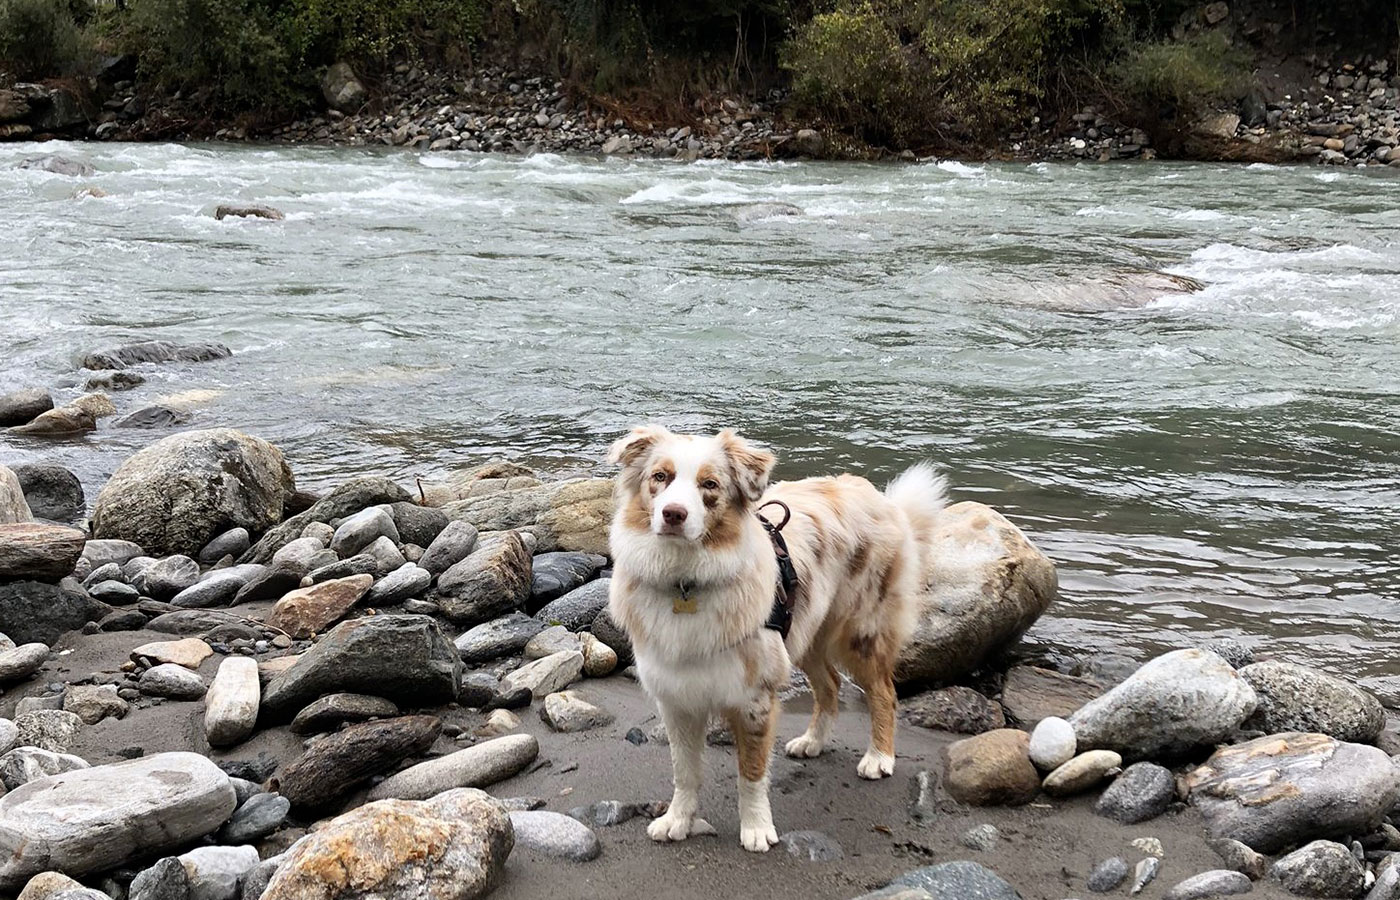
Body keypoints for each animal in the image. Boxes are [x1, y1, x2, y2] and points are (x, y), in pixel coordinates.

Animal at [607, 425, 946, 856]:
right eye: (659, 477)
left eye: (709, 485)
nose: (673, 514)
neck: (686, 580)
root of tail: (883, 500)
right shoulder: (676, 698)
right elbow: (684, 772)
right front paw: (677, 820)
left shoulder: (754, 697)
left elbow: (751, 773)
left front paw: (756, 828)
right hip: (806, 632)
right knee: (830, 686)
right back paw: (813, 742)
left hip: (860, 632)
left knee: (884, 692)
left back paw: (879, 757)